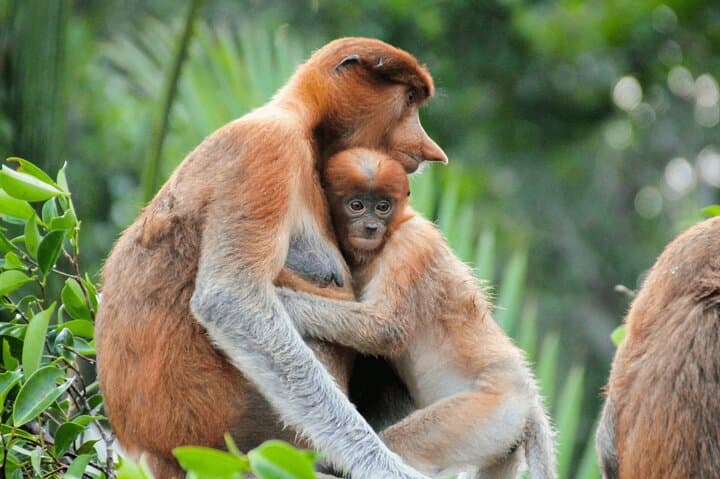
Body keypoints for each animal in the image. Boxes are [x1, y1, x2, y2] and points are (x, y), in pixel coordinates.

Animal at [95, 38, 448, 479]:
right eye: (410, 99)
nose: (431, 151)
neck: (304, 124)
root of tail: (148, 450)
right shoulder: (267, 151)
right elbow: (232, 301)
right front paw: (381, 465)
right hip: (229, 436)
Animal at [278, 148, 556, 479]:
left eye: (382, 207)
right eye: (357, 206)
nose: (371, 227)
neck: (388, 236)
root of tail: (527, 396)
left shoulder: (410, 244)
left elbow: (386, 330)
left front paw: (279, 299)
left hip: (491, 411)